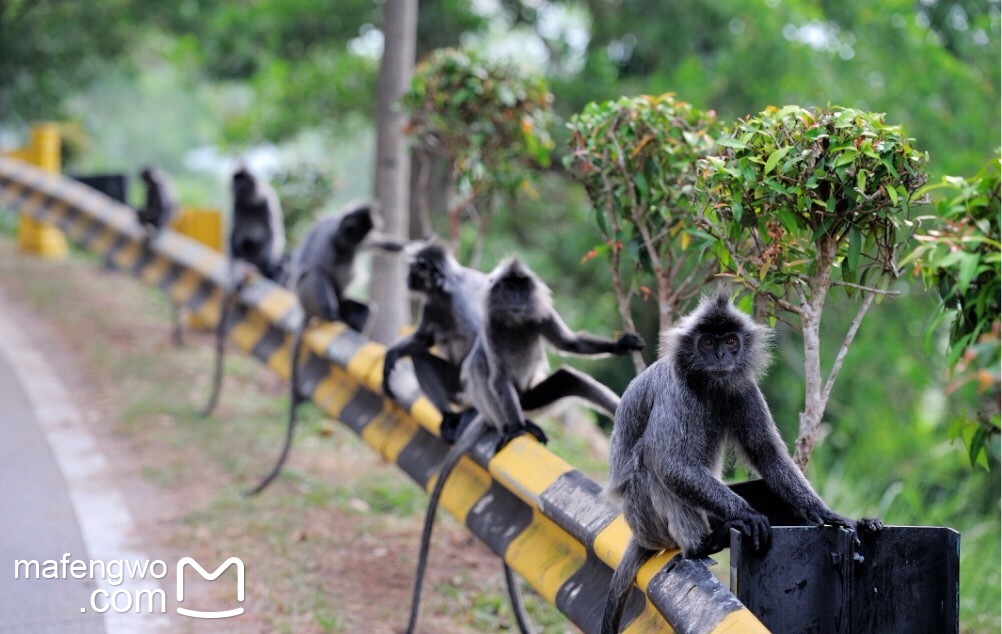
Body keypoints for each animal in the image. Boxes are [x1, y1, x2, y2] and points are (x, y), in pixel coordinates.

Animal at [199, 165, 286, 418]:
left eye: (242, 181)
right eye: (235, 181)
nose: (237, 186)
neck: (250, 201)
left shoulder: (266, 200)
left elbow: (273, 231)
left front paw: (271, 263)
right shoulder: (237, 205)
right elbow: (233, 235)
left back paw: (267, 268)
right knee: (241, 241)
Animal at [248, 200, 388, 492]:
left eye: (360, 236)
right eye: (350, 232)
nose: (352, 241)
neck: (342, 243)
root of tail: (305, 309)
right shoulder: (327, 238)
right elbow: (314, 269)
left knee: (362, 309)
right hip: (310, 298)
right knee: (314, 275)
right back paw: (332, 316)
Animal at [404, 256, 645, 632]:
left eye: (520, 289)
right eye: (508, 289)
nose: (516, 299)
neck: (515, 322)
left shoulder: (539, 316)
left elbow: (571, 345)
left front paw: (619, 346)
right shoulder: (488, 328)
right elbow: (496, 374)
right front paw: (517, 428)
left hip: (532, 396)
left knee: (569, 377)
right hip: (501, 402)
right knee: (482, 368)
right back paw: (513, 426)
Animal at [597, 288, 881, 632]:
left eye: (731, 341)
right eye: (707, 342)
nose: (721, 357)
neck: (707, 385)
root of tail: (638, 534)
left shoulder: (744, 387)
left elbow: (766, 453)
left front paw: (827, 514)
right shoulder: (675, 390)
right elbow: (667, 460)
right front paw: (747, 514)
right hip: (646, 519)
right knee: (652, 466)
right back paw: (703, 542)